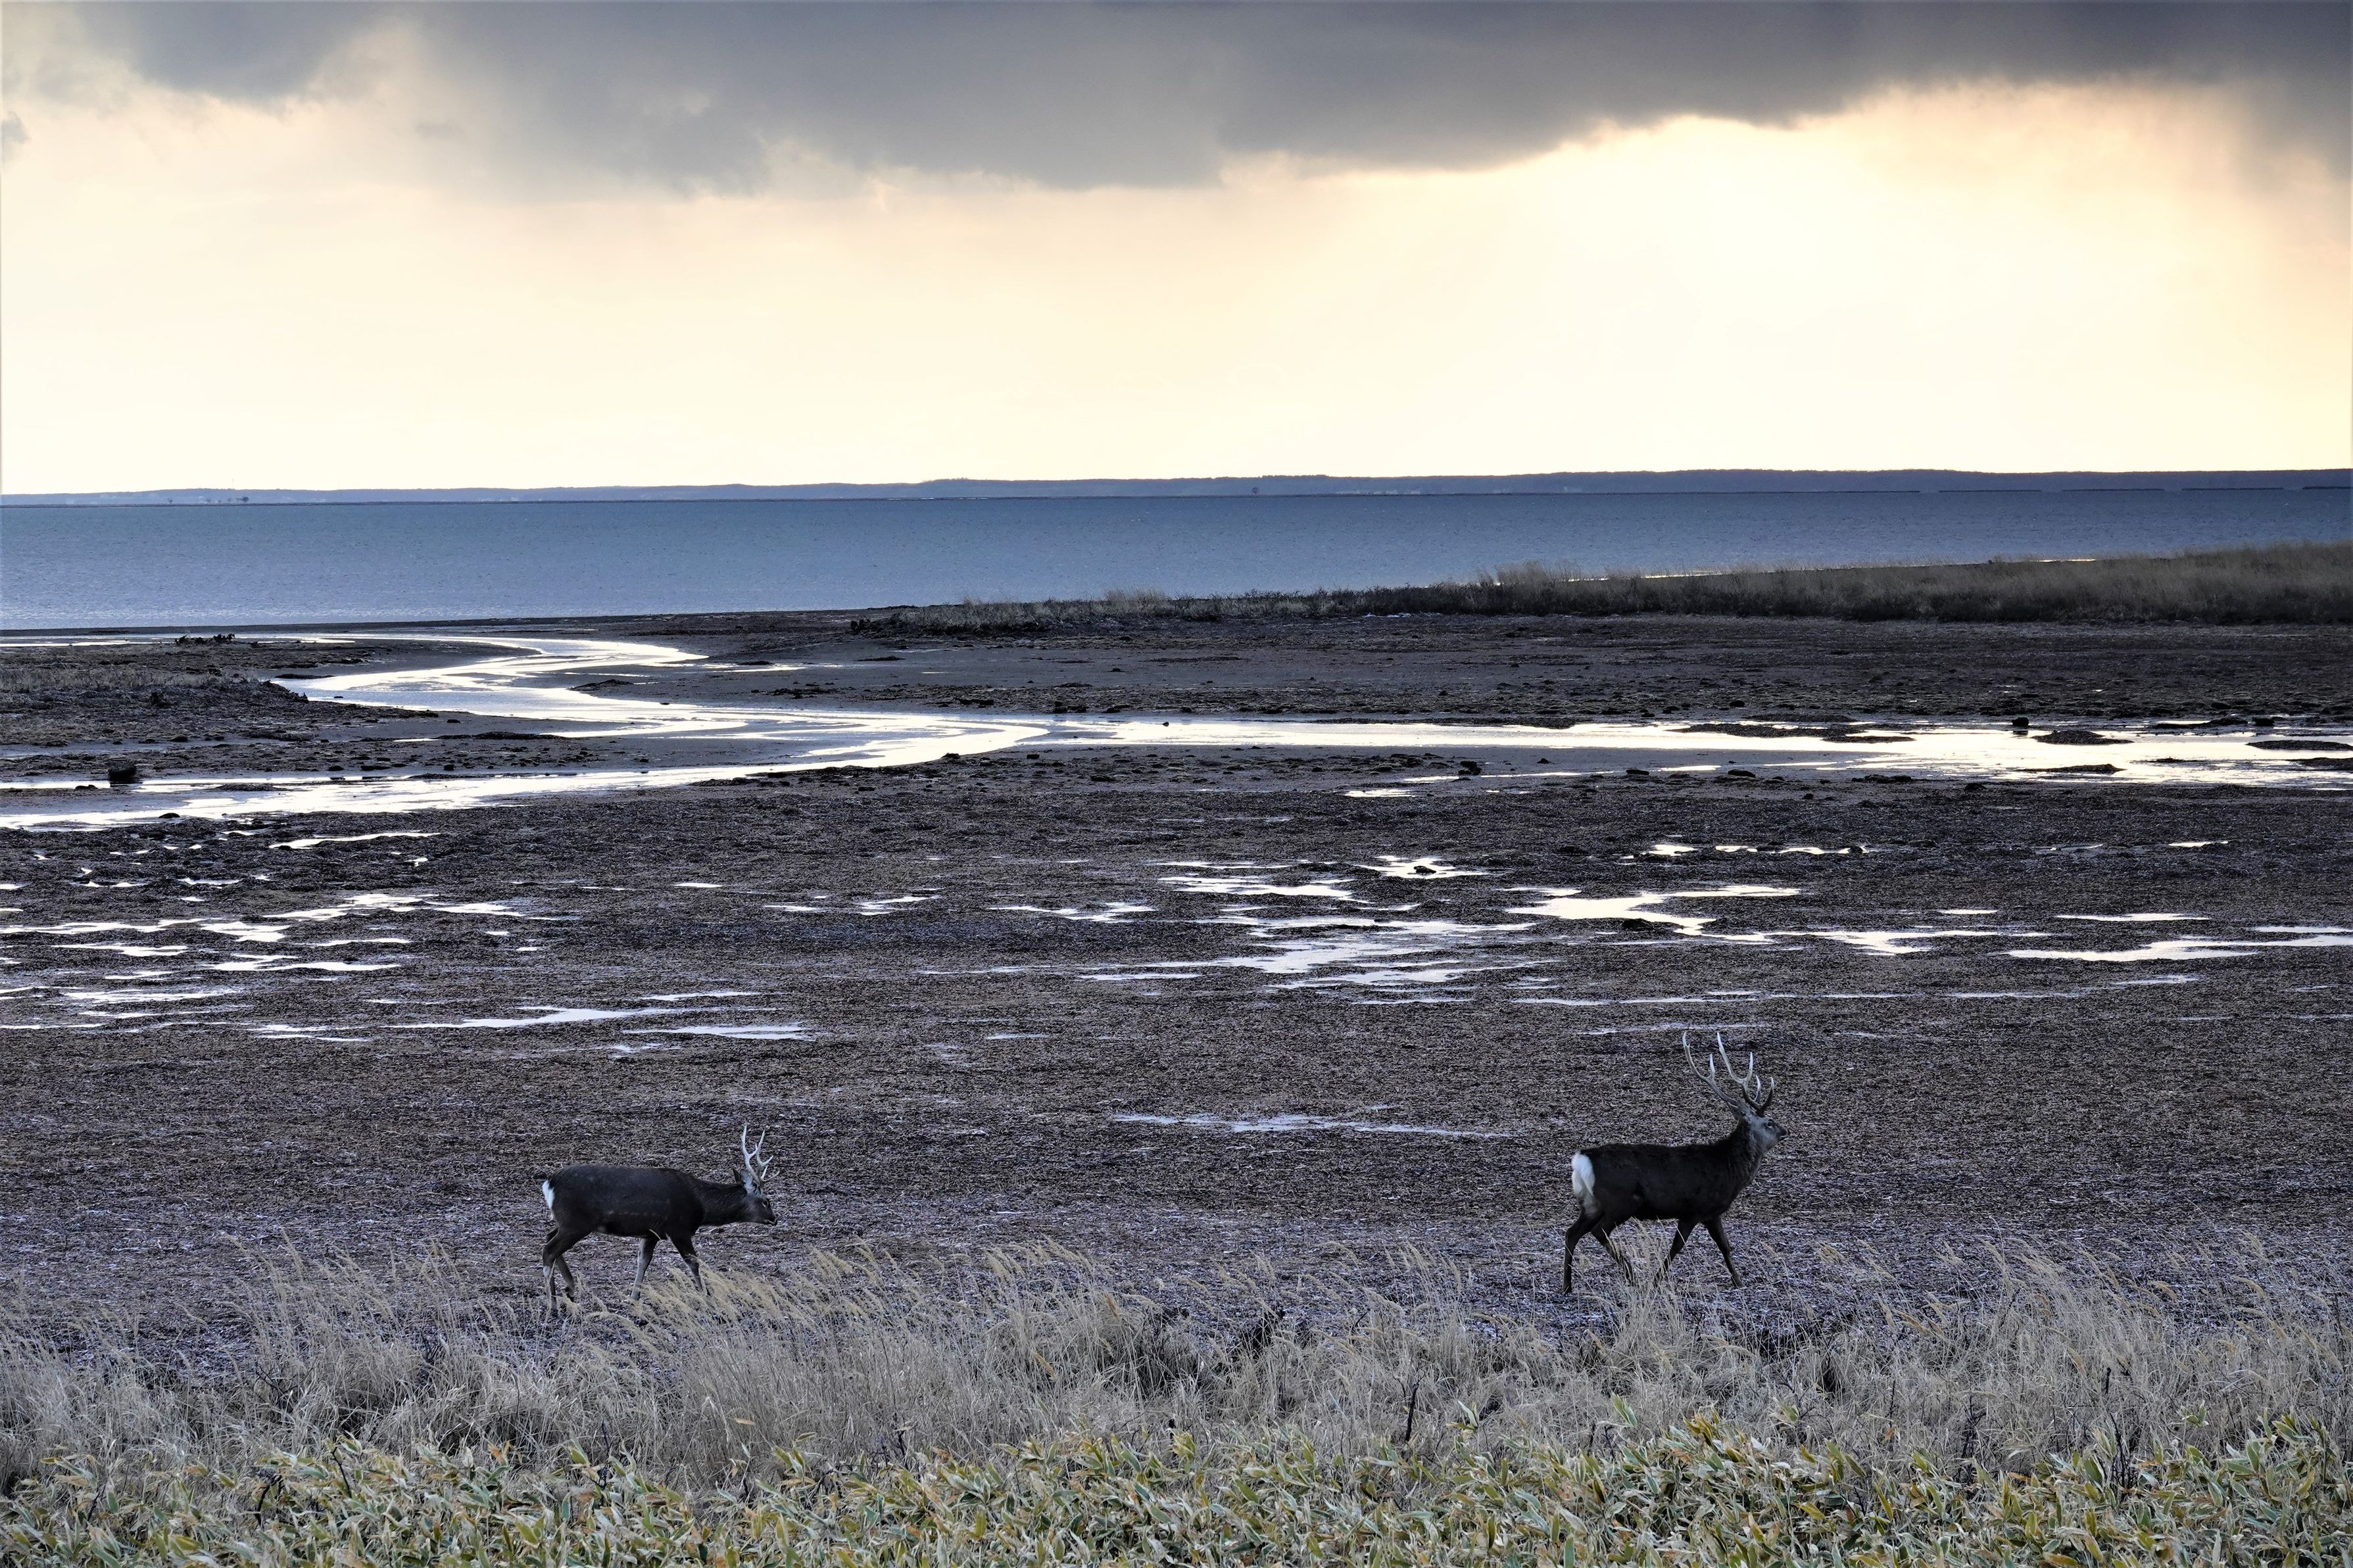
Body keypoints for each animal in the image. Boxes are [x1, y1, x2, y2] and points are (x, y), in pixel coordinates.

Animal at [540, 1128, 777, 1311]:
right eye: (767, 1201)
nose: (775, 1219)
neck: (701, 1206)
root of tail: (549, 1183)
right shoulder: (678, 1228)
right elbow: (693, 1262)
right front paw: (706, 1296)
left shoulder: (651, 1233)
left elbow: (643, 1262)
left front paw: (634, 1298)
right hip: (576, 1222)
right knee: (549, 1249)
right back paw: (553, 1303)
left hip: (566, 1221)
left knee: (549, 1238)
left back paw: (570, 1290)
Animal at [1561, 1035, 1785, 1294]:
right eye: (1769, 1123)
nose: (1785, 1132)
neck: (1730, 1170)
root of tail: (1581, 1160)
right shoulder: (1694, 1209)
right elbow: (1677, 1247)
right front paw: (1656, 1281)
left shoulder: (1712, 1213)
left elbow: (1725, 1246)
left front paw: (1738, 1281)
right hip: (1621, 1201)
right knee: (1599, 1231)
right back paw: (1632, 1276)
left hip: (1590, 1203)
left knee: (1572, 1233)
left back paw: (1567, 1286)